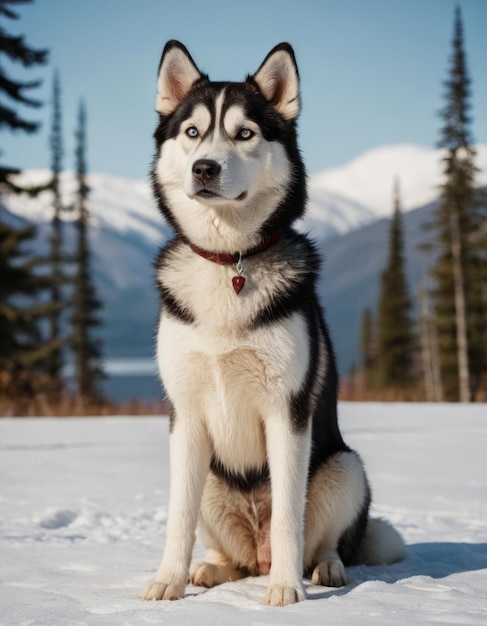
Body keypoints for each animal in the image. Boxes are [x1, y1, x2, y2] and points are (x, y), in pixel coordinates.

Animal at [142, 40, 408, 604]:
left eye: (245, 133)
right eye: (192, 132)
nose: (204, 168)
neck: (230, 262)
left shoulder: (287, 411)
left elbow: (289, 517)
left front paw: (287, 590)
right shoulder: (185, 416)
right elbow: (177, 517)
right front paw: (168, 581)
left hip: (343, 467)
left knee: (323, 540)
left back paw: (323, 570)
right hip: (213, 483)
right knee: (236, 558)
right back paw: (211, 570)